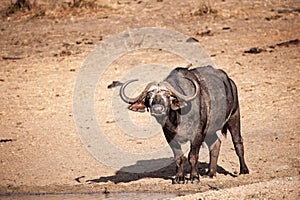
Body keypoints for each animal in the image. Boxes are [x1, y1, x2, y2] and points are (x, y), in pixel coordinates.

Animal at [119, 66, 248, 184]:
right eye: (149, 97)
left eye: (168, 96)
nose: (158, 109)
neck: (178, 117)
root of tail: (230, 82)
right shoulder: (170, 136)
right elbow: (179, 157)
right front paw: (179, 178)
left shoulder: (197, 135)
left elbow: (192, 156)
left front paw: (194, 177)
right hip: (210, 130)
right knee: (216, 144)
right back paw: (211, 173)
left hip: (234, 115)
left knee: (238, 143)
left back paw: (244, 170)